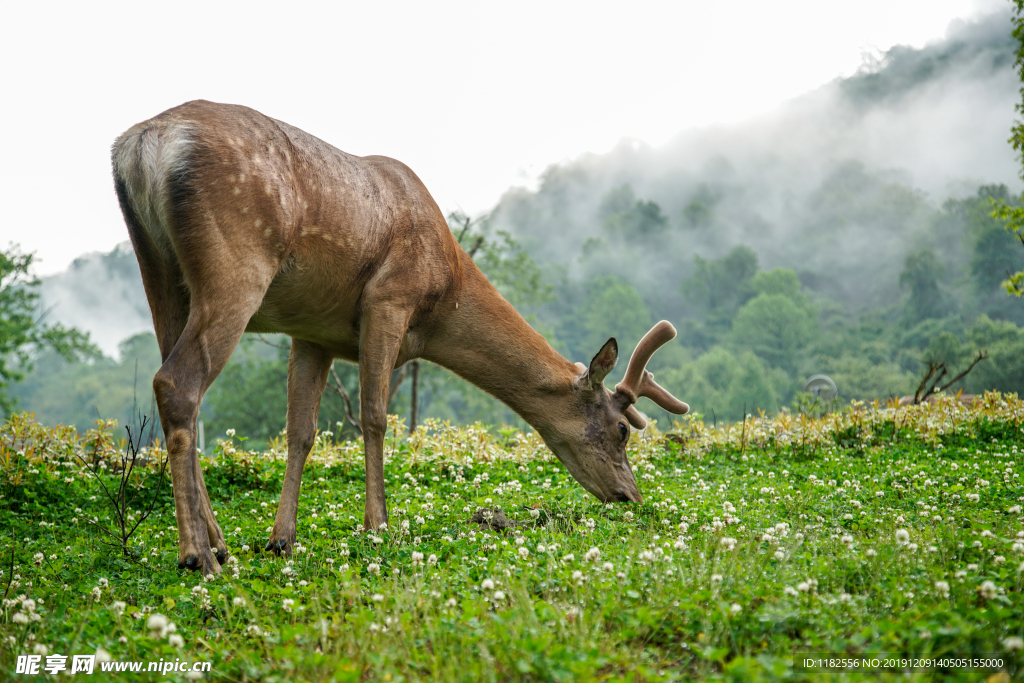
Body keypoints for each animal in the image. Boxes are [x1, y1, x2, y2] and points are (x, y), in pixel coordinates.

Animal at [110, 100, 688, 573]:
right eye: (621, 430)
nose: (630, 495)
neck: (443, 295)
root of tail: (142, 146)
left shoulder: (311, 332)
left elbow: (302, 432)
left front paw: (281, 539)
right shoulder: (389, 300)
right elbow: (374, 418)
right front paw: (378, 525)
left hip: (159, 271)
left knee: (181, 390)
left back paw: (220, 542)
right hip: (236, 261)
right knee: (177, 383)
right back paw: (197, 555)